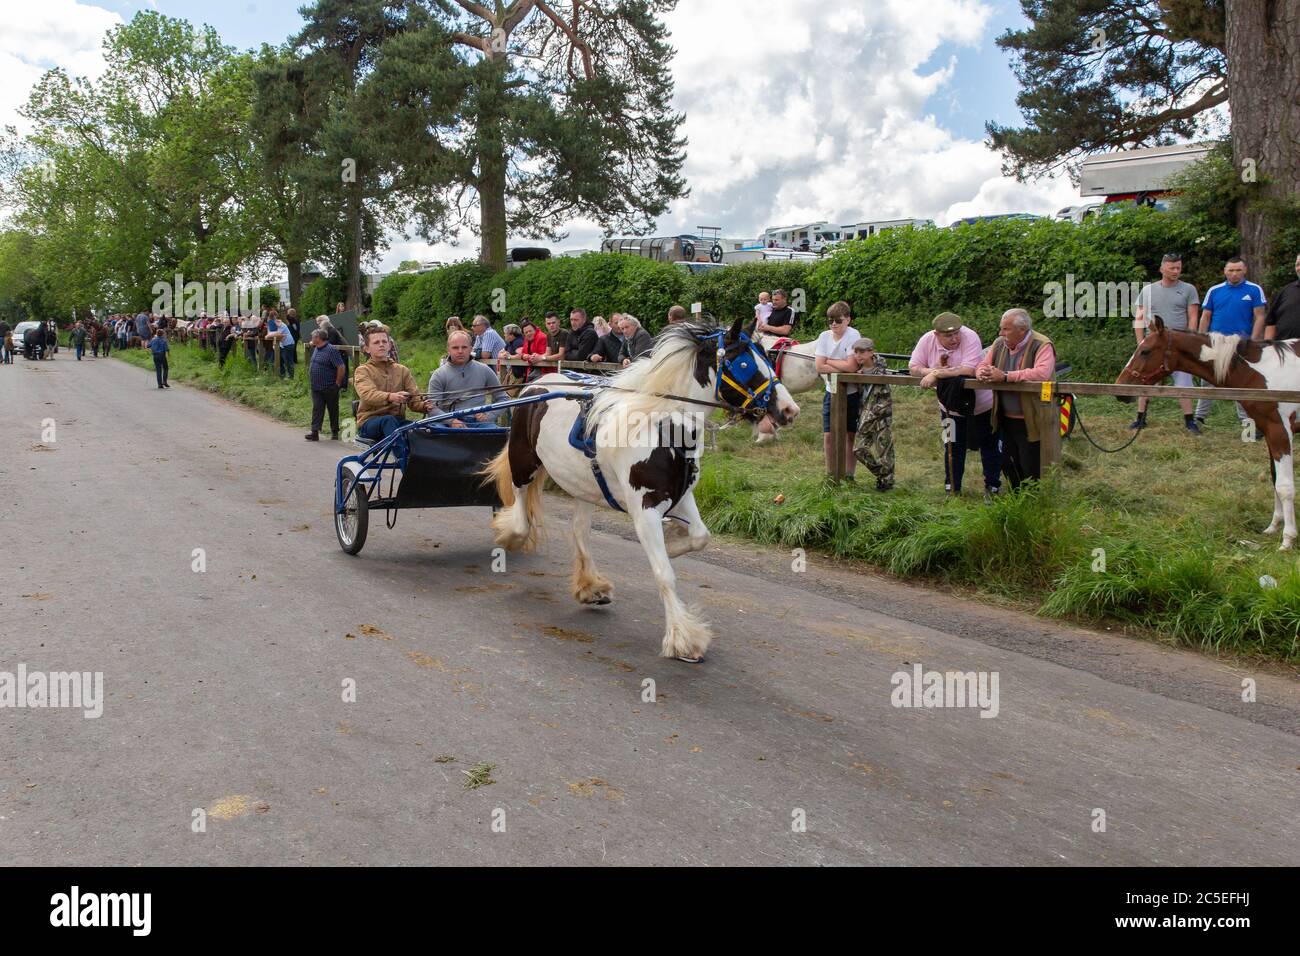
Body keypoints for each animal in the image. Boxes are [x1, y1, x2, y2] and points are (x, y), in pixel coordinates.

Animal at [483, 317, 795, 660]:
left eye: (768, 359)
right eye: (743, 364)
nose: (789, 410)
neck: (661, 426)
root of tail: (536, 385)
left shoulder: (681, 495)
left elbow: (700, 536)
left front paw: (673, 541)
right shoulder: (644, 510)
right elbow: (664, 573)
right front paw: (683, 638)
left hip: (583, 484)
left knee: (580, 531)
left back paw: (590, 586)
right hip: (523, 461)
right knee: (522, 509)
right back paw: (511, 534)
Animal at [1118, 317, 1300, 548]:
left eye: (1145, 351)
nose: (1121, 389)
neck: (1258, 372)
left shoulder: (1280, 430)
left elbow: (1285, 486)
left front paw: (1287, 539)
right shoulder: (1268, 430)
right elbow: (1274, 478)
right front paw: (1273, 527)